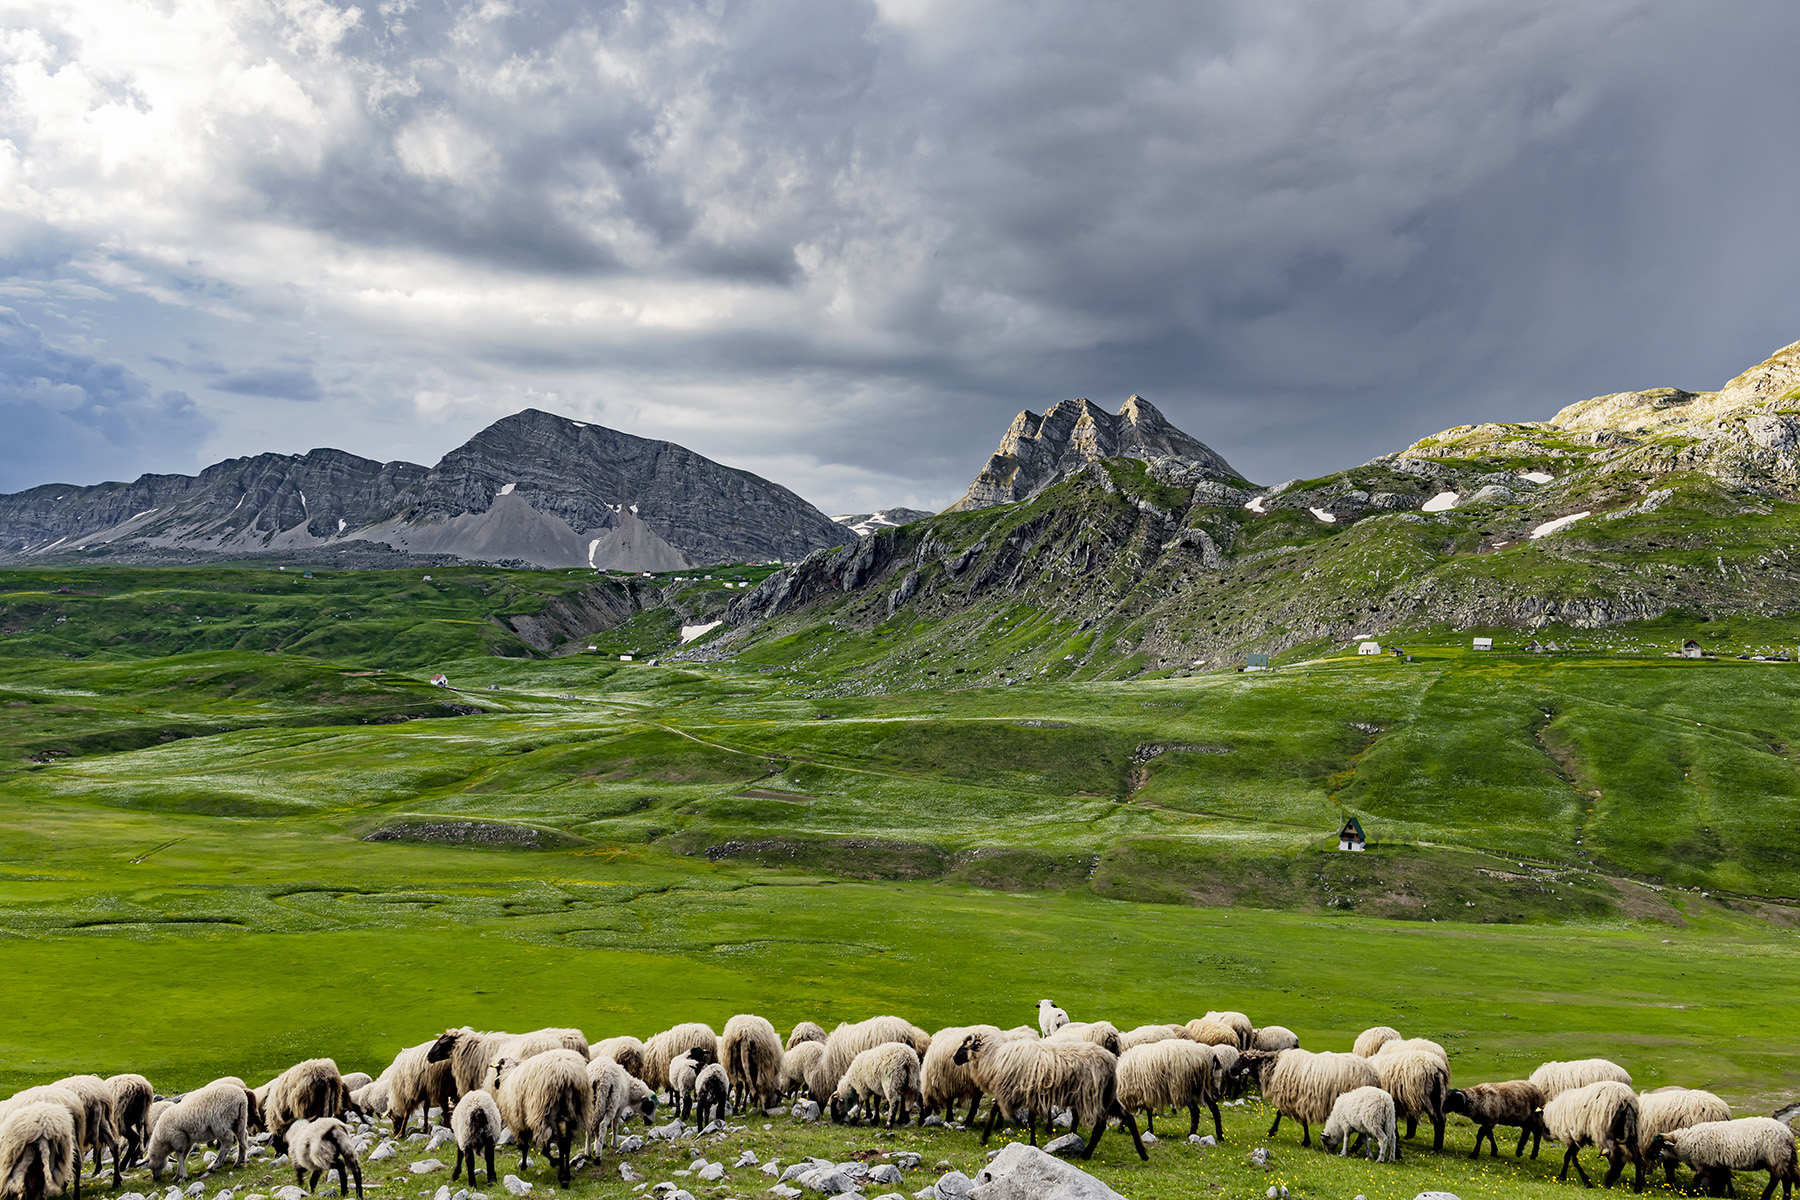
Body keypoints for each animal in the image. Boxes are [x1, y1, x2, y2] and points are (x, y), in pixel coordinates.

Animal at [493, 1043, 590, 1187]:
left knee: (561, 1142)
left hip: (546, 1111)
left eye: (498, 1069)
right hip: (573, 1113)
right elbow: (545, 1143)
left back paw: (563, 1178)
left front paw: (524, 1166)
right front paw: (554, 1161)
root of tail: (567, 1075)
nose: (495, 1083)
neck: (508, 1074)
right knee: (567, 1142)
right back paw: (567, 1174)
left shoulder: (520, 1120)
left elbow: (525, 1145)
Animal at [950, 1029, 1144, 1158]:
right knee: (1128, 1117)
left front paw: (984, 1137)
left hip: (1091, 1095)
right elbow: (1031, 1118)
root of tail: (1112, 1061)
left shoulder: (1011, 1090)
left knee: (1101, 1125)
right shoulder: (1029, 1093)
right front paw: (1033, 1143)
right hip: (1107, 1095)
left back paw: (1086, 1154)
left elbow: (994, 1111)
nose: (954, 1058)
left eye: (965, 1045)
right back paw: (1143, 1153)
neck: (994, 1057)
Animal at [1238, 1043, 1375, 1151]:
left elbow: (1286, 1116)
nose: (1233, 1071)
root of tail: (1374, 1075)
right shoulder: (1299, 1100)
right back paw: (1353, 1148)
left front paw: (1274, 1132)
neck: (1274, 1066)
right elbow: (1283, 1115)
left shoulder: (1298, 1099)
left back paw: (1352, 1149)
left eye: (1243, 1060)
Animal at [1648, 1115, 1792, 1200]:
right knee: (1780, 1178)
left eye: (1656, 1144)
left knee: (1783, 1179)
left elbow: (1699, 1179)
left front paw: (1693, 1194)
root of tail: (1788, 1134)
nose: (1647, 1155)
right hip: (1778, 1159)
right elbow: (1723, 1178)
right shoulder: (1716, 1164)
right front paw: (1724, 1195)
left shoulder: (1704, 1163)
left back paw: (1778, 1197)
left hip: (1775, 1157)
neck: (1685, 1141)